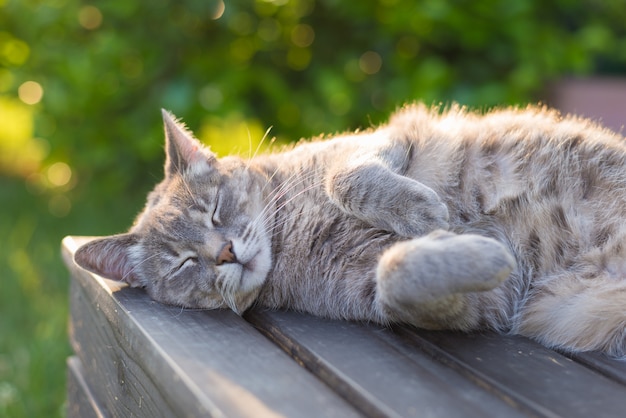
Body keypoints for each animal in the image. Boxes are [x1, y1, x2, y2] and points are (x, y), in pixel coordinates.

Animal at [75, 103, 624, 356]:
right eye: (184, 264)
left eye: (213, 210)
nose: (226, 252)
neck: (291, 235)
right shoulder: (474, 304)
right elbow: (397, 274)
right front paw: (476, 248)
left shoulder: (382, 138)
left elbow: (344, 176)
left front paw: (422, 211)